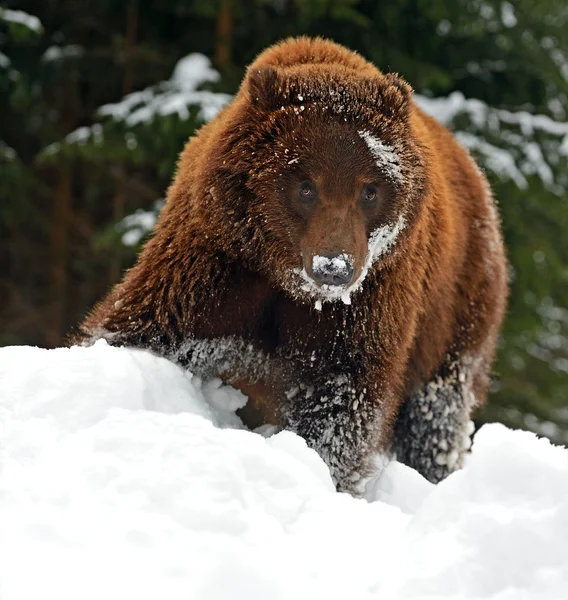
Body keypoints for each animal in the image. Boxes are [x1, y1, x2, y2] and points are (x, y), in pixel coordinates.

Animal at [74, 37, 506, 494]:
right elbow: (147, 323)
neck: (286, 278)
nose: (333, 267)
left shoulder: (372, 294)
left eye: (369, 189)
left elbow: (342, 391)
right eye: (306, 186)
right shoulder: (219, 258)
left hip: (457, 309)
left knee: (436, 412)